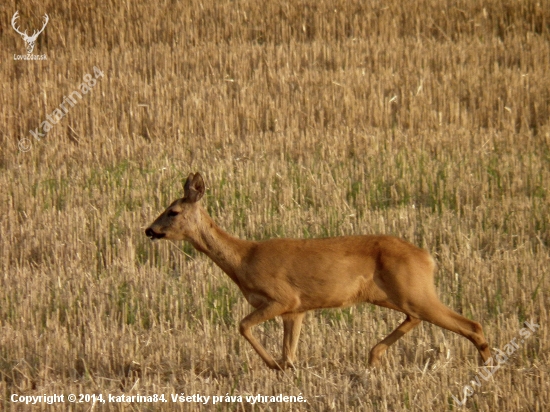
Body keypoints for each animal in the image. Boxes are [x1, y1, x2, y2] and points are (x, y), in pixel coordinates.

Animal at [146, 172, 492, 368]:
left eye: (172, 211)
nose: (149, 230)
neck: (243, 259)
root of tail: (427, 258)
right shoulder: (298, 309)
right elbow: (289, 350)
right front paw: (286, 368)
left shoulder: (282, 298)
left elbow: (242, 326)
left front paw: (273, 365)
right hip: (393, 294)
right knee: (416, 318)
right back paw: (373, 356)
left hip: (414, 290)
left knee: (470, 324)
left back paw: (487, 366)